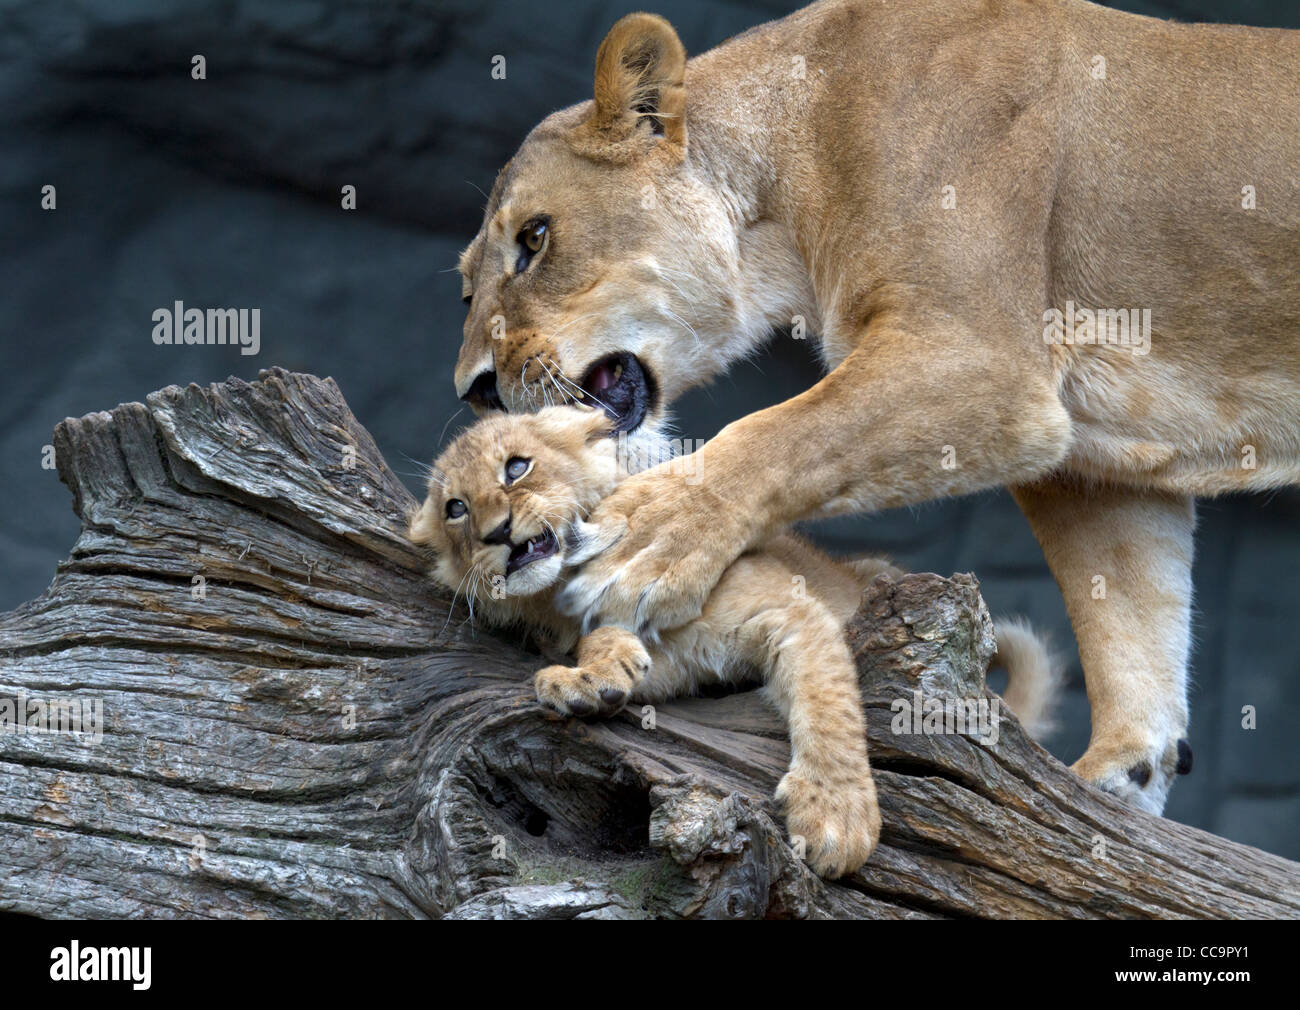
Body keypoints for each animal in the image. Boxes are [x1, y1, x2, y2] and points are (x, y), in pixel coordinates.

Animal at [408, 405, 1060, 877]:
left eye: (516, 467)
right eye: (455, 509)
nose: (495, 532)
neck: (561, 593)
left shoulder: (793, 610)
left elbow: (829, 708)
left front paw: (836, 819)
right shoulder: (673, 662)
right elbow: (622, 649)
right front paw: (589, 678)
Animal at [452, 0, 1300, 815]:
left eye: (535, 237)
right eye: (465, 287)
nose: (474, 387)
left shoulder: (985, 360)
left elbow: (780, 433)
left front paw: (646, 544)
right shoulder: (1095, 465)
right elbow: (1132, 625)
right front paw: (1115, 787)